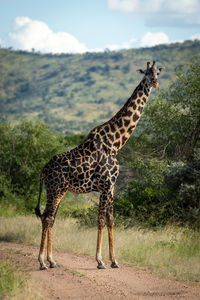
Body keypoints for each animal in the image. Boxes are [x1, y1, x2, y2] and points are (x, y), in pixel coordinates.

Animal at [34, 60, 162, 270]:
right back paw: (43, 262)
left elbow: (111, 220)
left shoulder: (111, 187)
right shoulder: (106, 185)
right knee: (47, 217)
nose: (154, 82)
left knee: (49, 218)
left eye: (157, 72)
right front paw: (100, 261)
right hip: (56, 189)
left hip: (58, 190)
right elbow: (101, 220)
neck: (116, 143)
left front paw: (114, 261)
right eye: (146, 73)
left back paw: (51, 261)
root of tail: (43, 170)